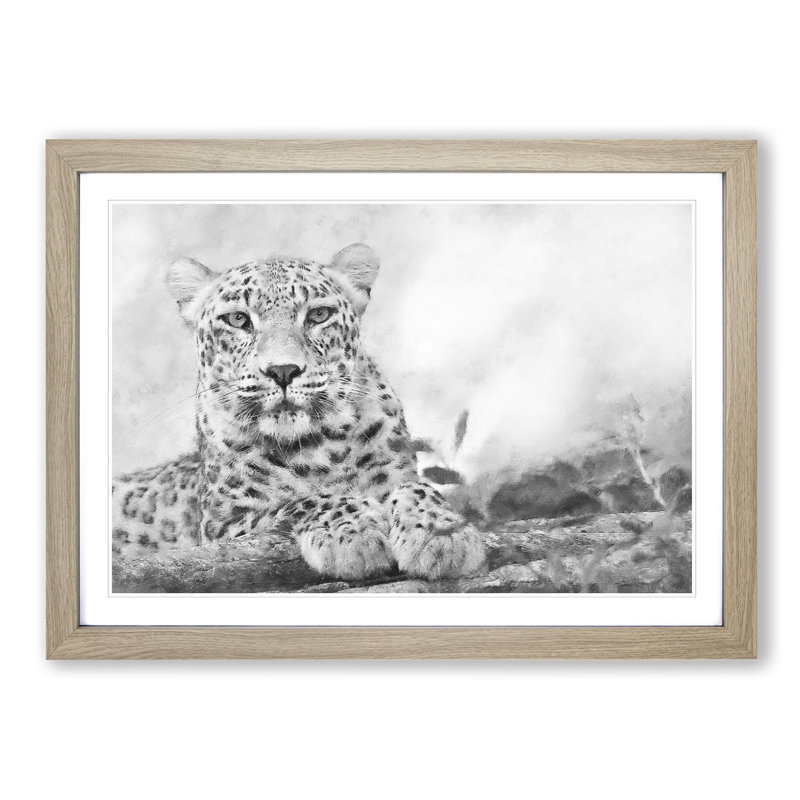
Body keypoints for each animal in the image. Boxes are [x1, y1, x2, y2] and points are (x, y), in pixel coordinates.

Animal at [112, 243, 486, 583]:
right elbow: (304, 501)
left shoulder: (397, 472)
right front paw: (352, 535)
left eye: (319, 315)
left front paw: (441, 533)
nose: (283, 371)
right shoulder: (223, 524)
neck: (319, 446)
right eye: (238, 319)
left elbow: (417, 488)